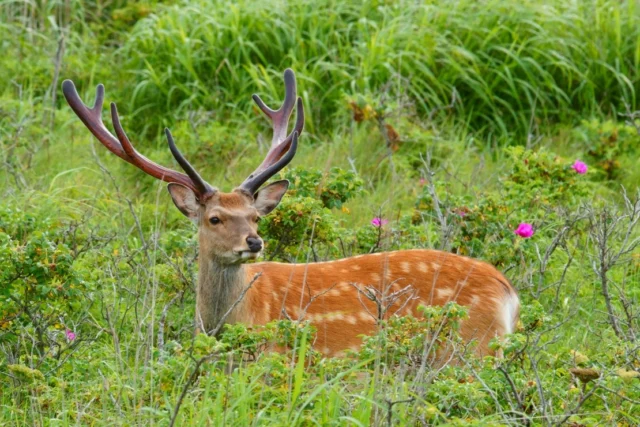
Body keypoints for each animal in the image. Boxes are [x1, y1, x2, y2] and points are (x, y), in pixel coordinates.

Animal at [62, 69, 520, 358]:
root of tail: (507, 291)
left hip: (470, 348)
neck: (226, 323)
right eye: (215, 218)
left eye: (255, 216)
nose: (254, 242)